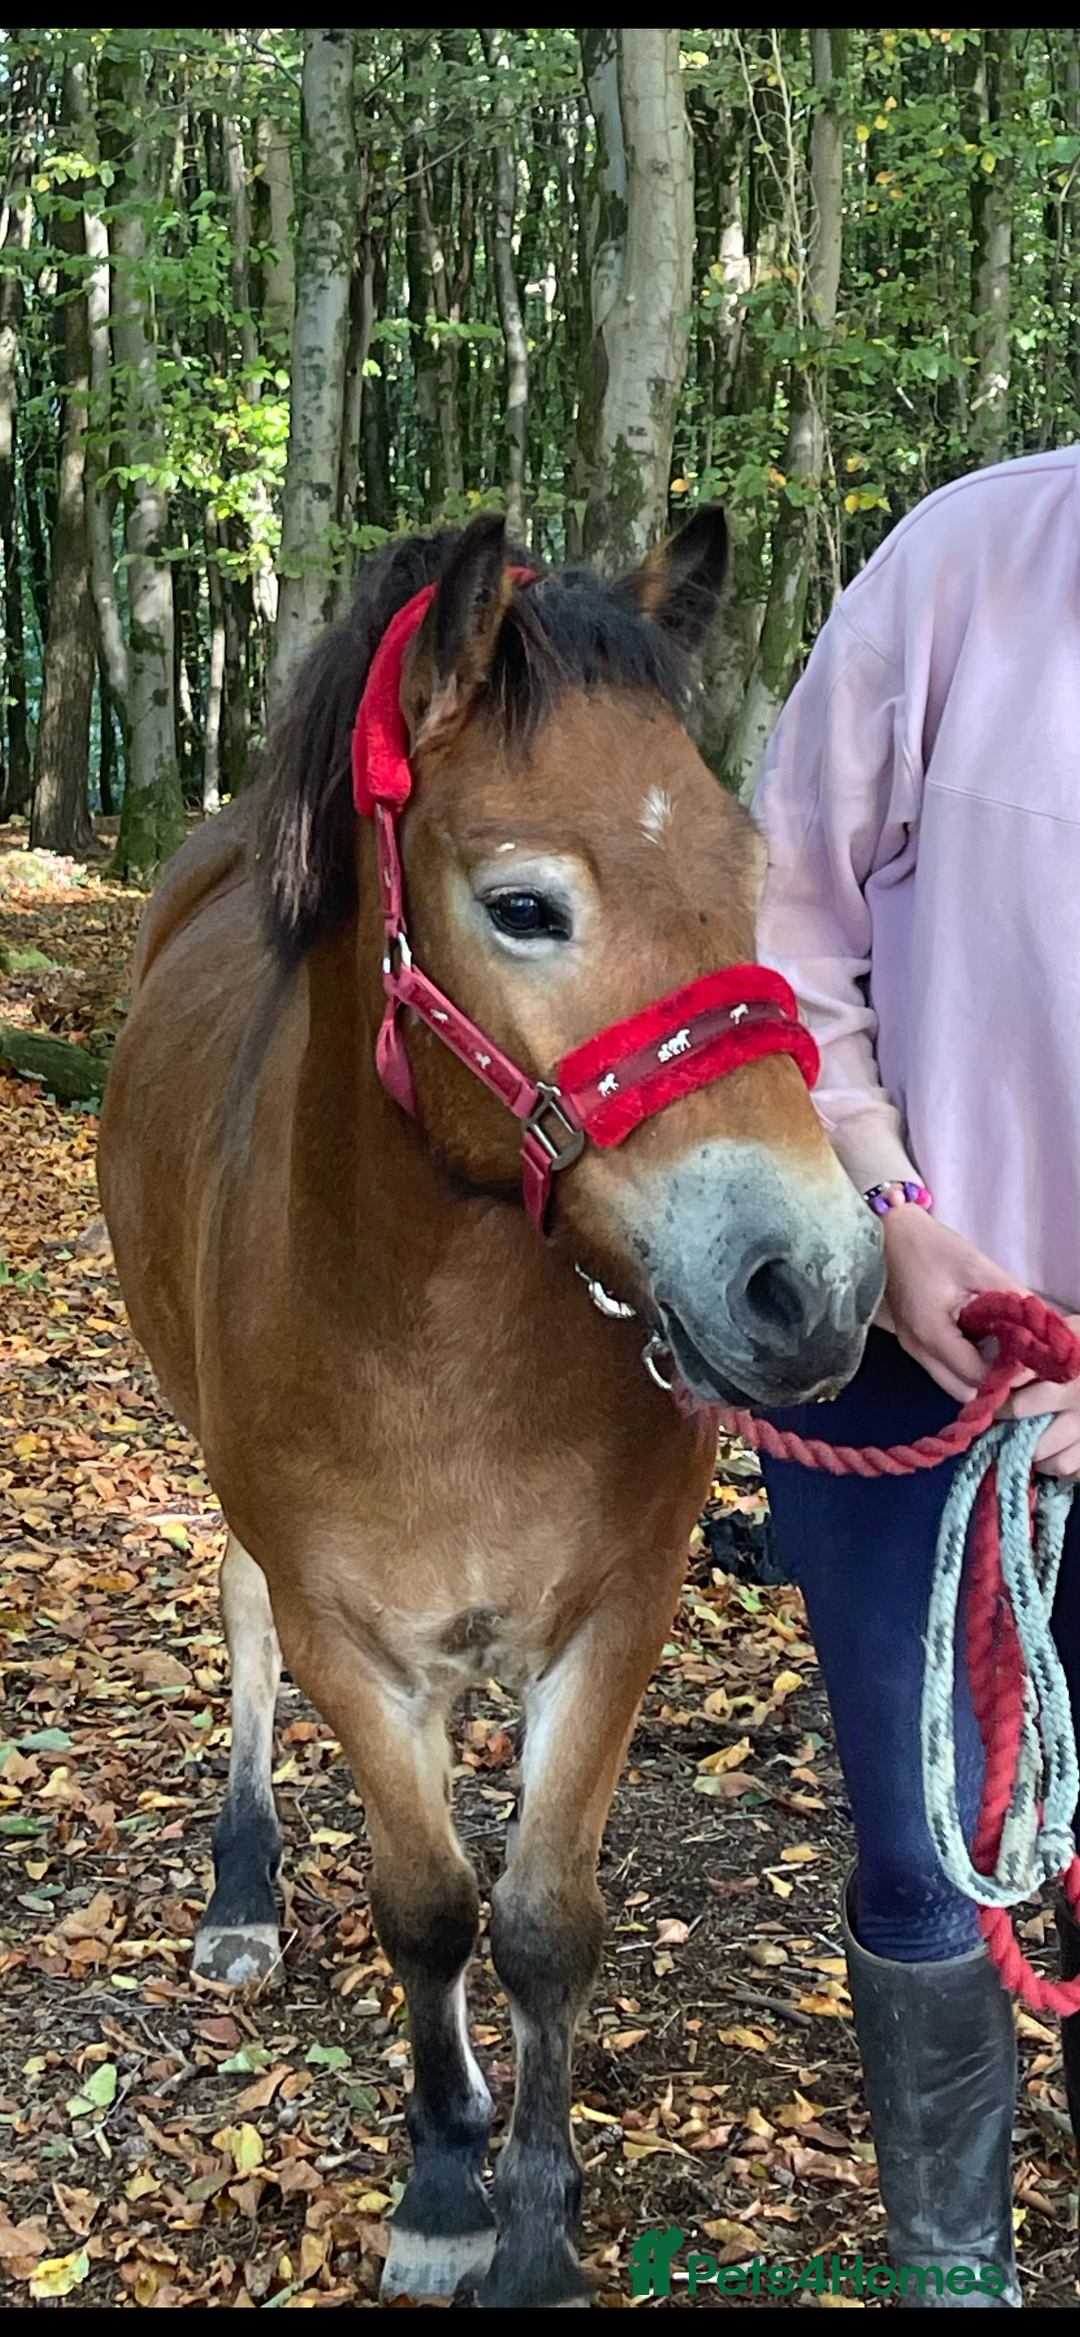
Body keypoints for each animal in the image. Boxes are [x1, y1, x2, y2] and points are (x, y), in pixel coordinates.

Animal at [97, 508, 883, 2308]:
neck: (433, 1336)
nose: (811, 1283)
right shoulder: (346, 1629)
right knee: (241, 1626)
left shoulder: (618, 1611)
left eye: (751, 877)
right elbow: (428, 1906)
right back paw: (245, 1889)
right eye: (526, 906)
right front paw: (446, 2178)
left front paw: (530, 2206)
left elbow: (538, 1921)